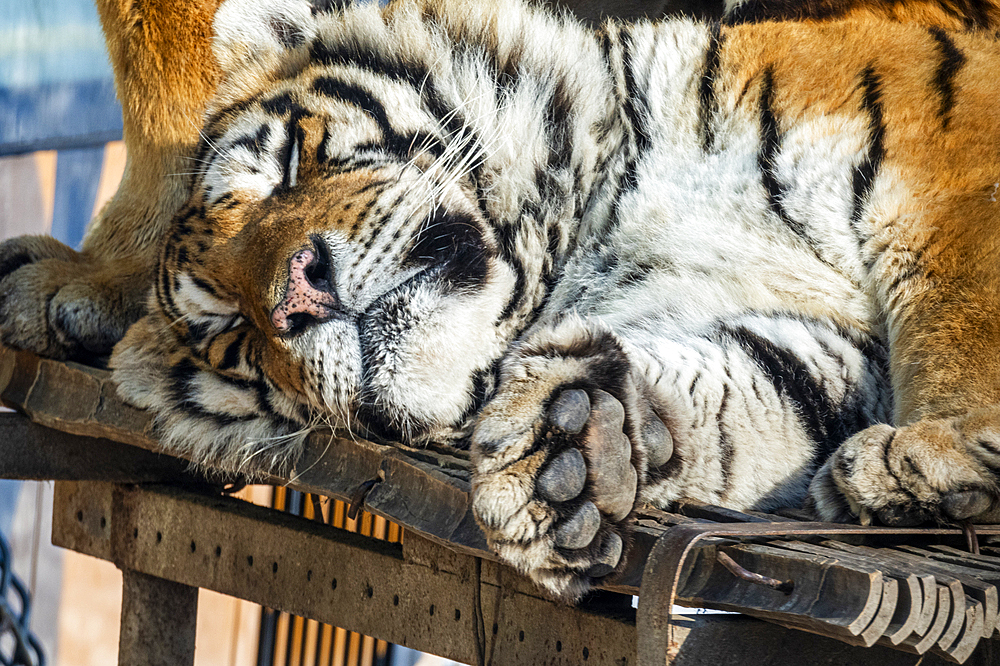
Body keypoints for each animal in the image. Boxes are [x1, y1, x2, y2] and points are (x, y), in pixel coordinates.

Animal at [1, 0, 1000, 596]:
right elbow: (756, 386)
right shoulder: (811, 340)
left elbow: (959, 309)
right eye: (232, 336)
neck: (597, 233)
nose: (295, 297)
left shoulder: (945, 166)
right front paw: (575, 447)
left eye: (287, 165)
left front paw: (930, 452)